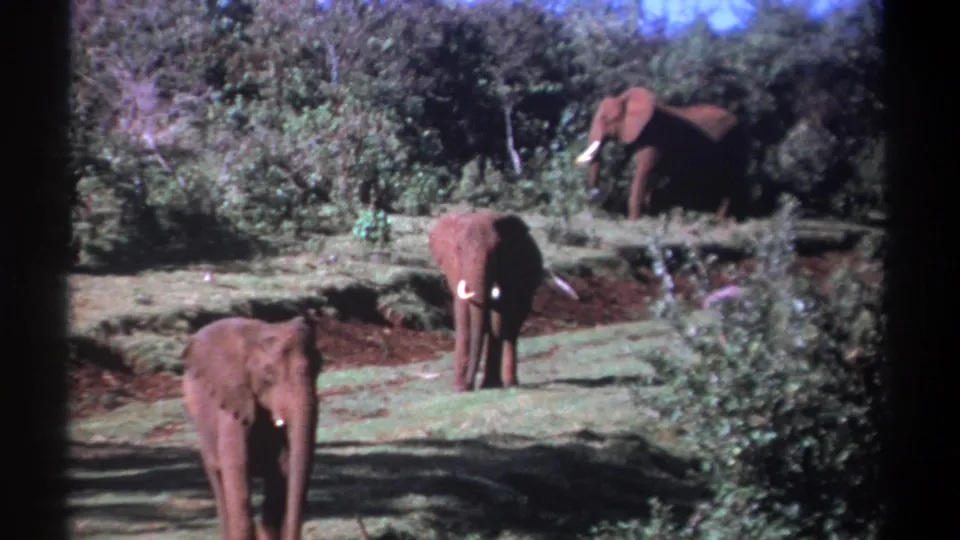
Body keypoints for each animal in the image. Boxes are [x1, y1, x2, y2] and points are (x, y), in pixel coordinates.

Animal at [182, 315, 323, 540]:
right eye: (268, 373)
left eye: (320, 366)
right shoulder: (232, 400)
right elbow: (236, 466)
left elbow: (282, 470)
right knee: (218, 477)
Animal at [428, 210, 579, 392]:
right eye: (458, 249)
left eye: (495, 251)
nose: (470, 385)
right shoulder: (455, 270)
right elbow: (463, 315)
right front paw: (459, 389)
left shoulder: (510, 270)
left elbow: (499, 318)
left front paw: (484, 385)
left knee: (512, 327)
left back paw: (507, 382)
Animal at [574, 86, 751, 222]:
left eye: (608, 118)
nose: (592, 206)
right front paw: (647, 214)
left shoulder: (656, 136)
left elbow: (644, 170)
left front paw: (634, 220)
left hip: (736, 143)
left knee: (731, 181)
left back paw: (720, 220)